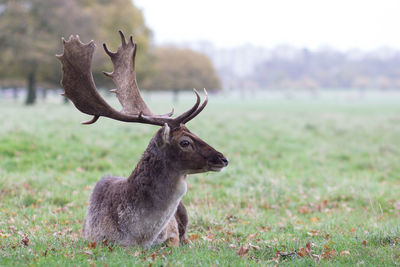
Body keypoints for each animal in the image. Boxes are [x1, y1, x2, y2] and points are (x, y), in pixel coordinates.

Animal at [55, 30, 228, 247]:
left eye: (194, 133)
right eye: (185, 142)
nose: (223, 159)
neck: (138, 237)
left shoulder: (172, 233)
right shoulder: (94, 239)